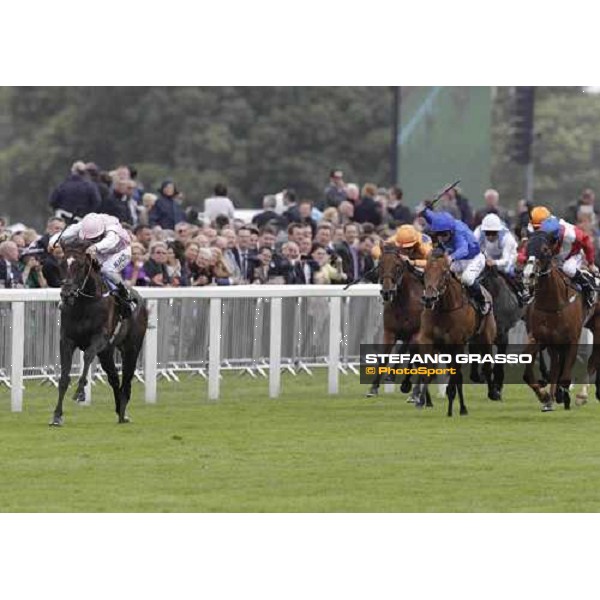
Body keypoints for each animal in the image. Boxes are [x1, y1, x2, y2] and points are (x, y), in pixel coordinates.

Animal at [52, 241, 149, 424]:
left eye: (80, 265)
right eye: (61, 264)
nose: (66, 294)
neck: (85, 304)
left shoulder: (100, 338)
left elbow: (88, 355)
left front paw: (80, 392)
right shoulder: (66, 340)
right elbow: (64, 377)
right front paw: (57, 416)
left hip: (131, 347)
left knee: (127, 378)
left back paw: (123, 411)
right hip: (106, 353)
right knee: (114, 378)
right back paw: (120, 411)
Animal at [364, 240, 428, 404]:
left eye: (398, 266)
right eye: (380, 265)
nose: (387, 292)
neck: (403, 302)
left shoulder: (417, 334)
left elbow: (416, 358)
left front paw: (414, 392)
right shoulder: (389, 332)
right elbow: (384, 357)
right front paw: (373, 388)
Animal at [418, 248, 496, 418]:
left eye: (444, 272)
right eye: (425, 272)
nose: (429, 298)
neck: (444, 310)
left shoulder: (457, 345)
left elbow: (456, 376)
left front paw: (456, 407)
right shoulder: (428, 341)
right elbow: (428, 369)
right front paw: (420, 399)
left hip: (485, 338)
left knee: (486, 365)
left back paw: (493, 393)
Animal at [524, 230, 588, 408]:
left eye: (545, 249)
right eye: (526, 247)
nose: (528, 275)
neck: (553, 304)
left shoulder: (572, 339)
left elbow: (565, 376)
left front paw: (563, 395)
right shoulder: (538, 338)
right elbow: (527, 374)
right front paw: (544, 396)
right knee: (555, 366)